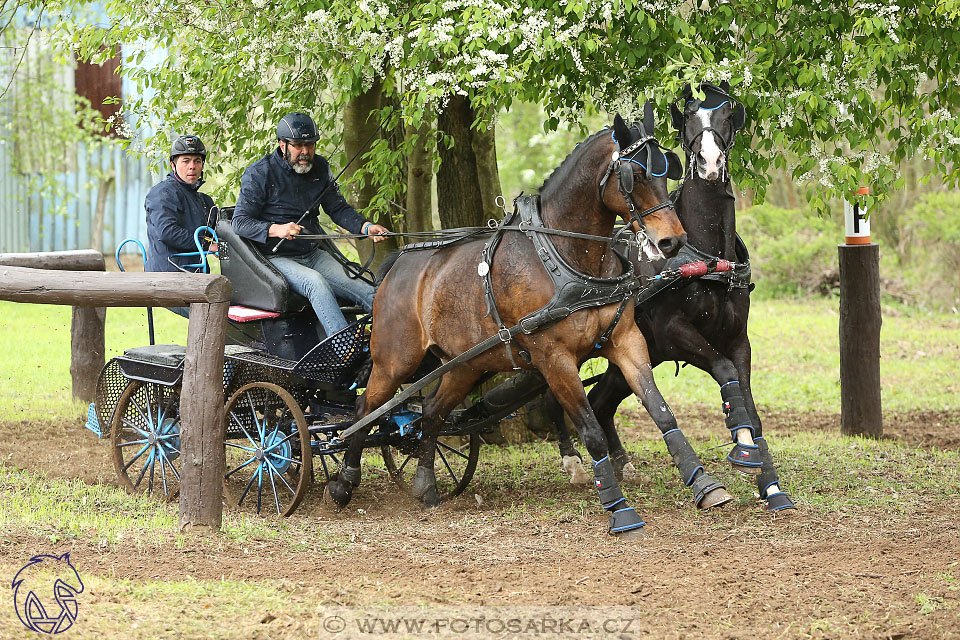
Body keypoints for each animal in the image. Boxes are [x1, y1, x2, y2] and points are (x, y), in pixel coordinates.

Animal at [326, 109, 688, 536]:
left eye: (668, 169)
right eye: (635, 175)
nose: (672, 242)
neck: (565, 255)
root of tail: (397, 265)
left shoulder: (626, 340)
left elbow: (661, 411)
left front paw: (703, 482)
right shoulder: (553, 358)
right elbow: (591, 431)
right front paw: (619, 508)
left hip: (465, 364)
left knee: (431, 412)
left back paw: (426, 485)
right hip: (395, 360)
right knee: (366, 409)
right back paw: (345, 482)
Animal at [548, 84, 796, 516]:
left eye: (728, 117)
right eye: (689, 121)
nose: (710, 162)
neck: (706, 255)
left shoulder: (737, 339)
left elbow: (751, 405)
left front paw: (770, 483)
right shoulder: (674, 333)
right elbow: (724, 369)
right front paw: (742, 449)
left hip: (628, 354)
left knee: (600, 401)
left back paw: (621, 462)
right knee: (552, 397)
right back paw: (573, 460)